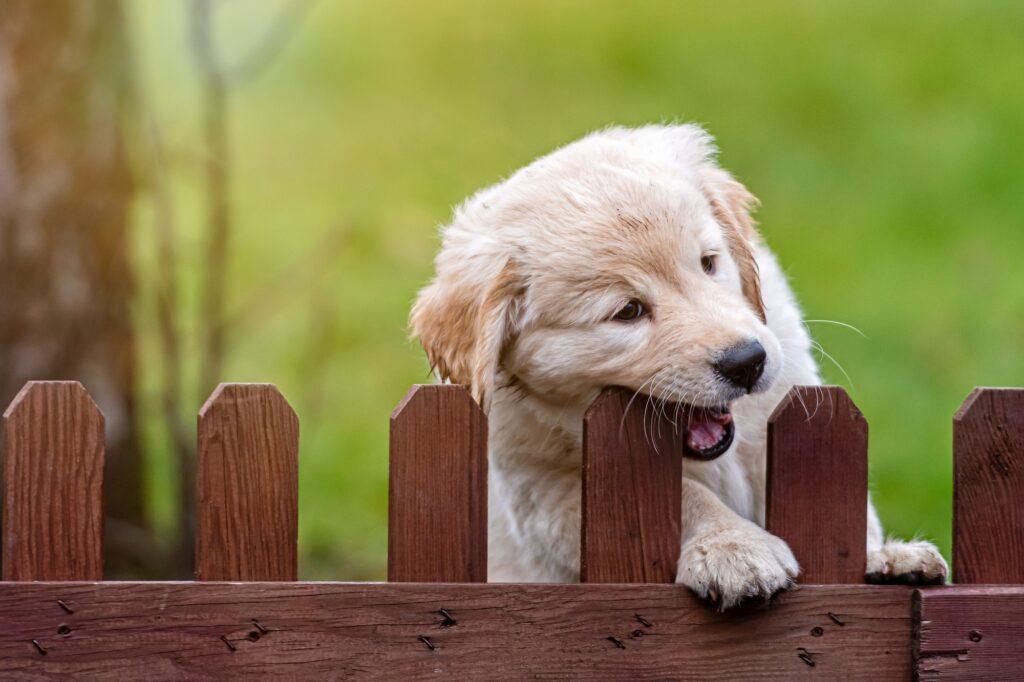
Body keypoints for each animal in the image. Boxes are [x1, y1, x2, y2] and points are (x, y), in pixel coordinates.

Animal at [409, 124, 950, 602]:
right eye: (628, 311)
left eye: (709, 263)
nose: (748, 362)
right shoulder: (545, 491)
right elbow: (688, 496)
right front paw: (732, 548)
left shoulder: (777, 405)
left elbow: (831, 491)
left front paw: (880, 554)